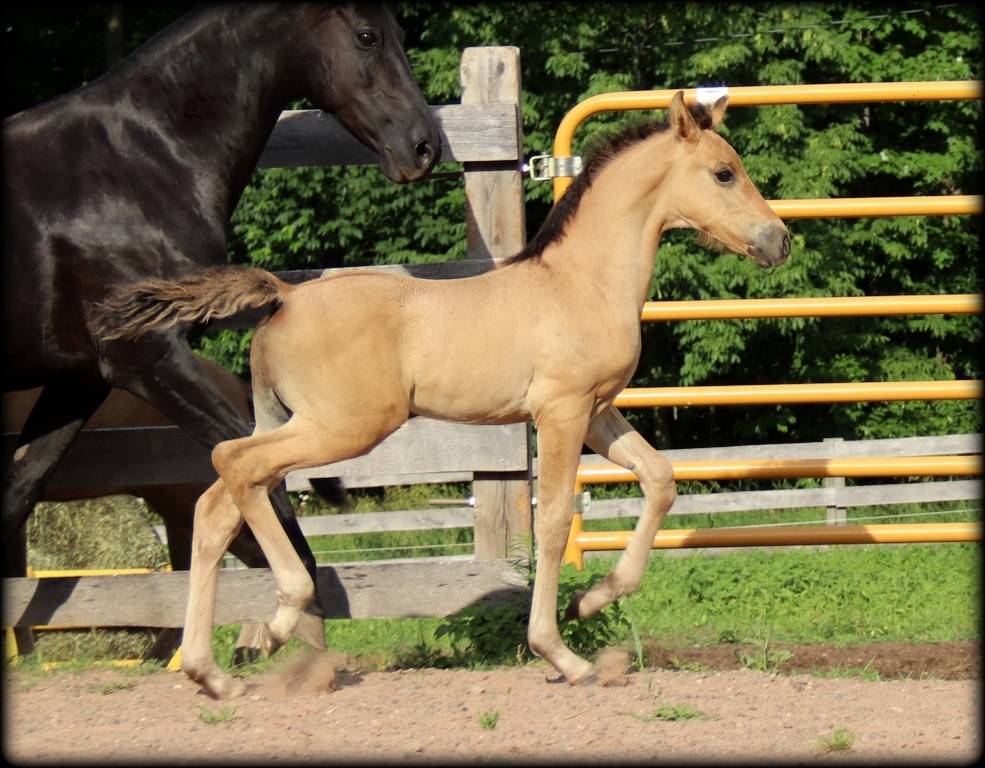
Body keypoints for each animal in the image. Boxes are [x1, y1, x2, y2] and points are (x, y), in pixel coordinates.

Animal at [0, 3, 438, 656]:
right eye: (367, 35)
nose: (424, 145)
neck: (137, 162)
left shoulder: (81, 377)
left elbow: (16, 495)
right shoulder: (148, 355)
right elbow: (263, 480)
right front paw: (292, 631)